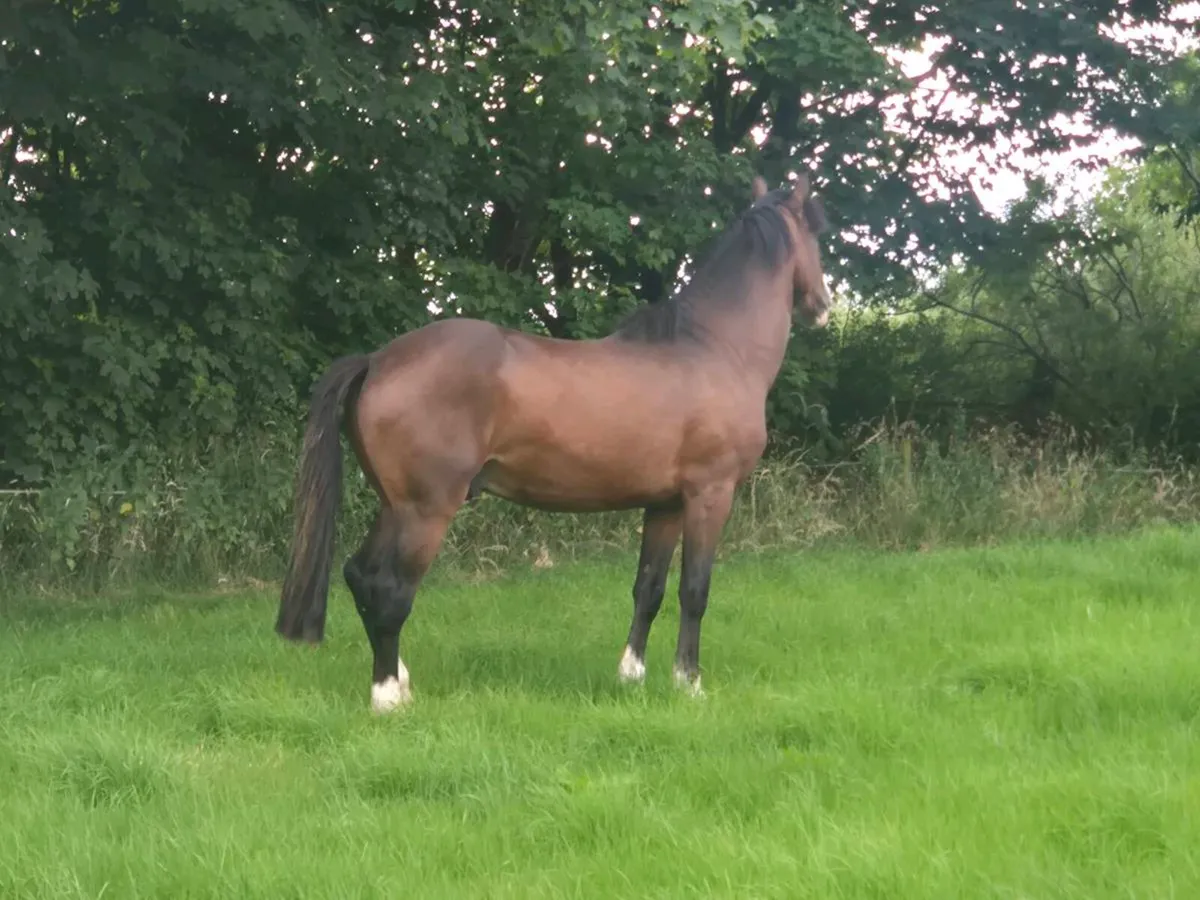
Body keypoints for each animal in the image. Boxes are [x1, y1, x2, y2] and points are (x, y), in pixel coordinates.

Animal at [274, 173, 833, 712]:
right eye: (816, 232)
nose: (823, 306)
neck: (713, 348)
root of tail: (378, 360)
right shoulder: (709, 495)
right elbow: (694, 590)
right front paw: (689, 682)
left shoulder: (666, 504)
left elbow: (649, 588)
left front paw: (632, 676)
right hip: (424, 511)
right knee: (389, 589)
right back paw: (388, 696)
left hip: (393, 506)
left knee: (360, 576)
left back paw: (400, 680)